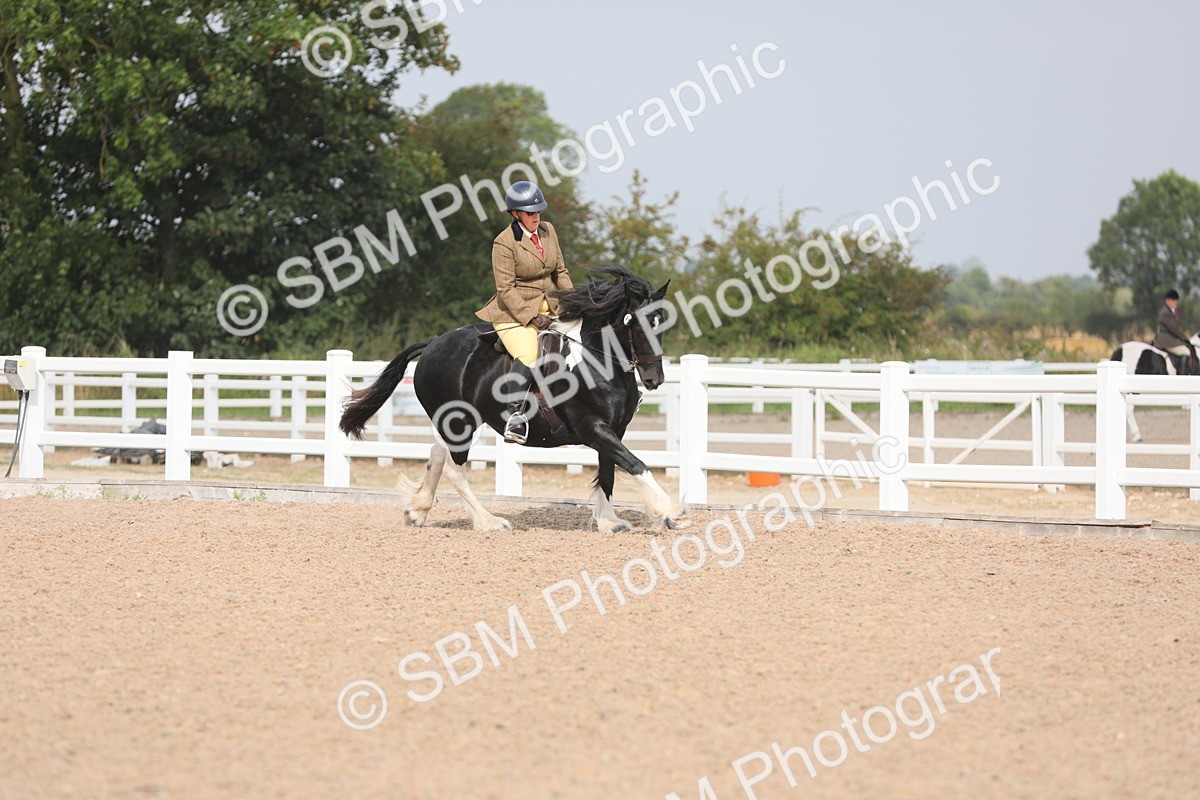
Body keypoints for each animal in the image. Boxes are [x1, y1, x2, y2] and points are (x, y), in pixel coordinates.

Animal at [339, 265, 684, 533]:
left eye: (660, 323)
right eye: (633, 322)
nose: (654, 379)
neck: (595, 361)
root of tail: (435, 343)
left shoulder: (613, 430)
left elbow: (609, 472)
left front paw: (609, 521)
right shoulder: (593, 428)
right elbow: (635, 465)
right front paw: (670, 511)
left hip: (455, 422)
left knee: (437, 454)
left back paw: (417, 510)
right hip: (461, 423)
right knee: (454, 469)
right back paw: (489, 521)